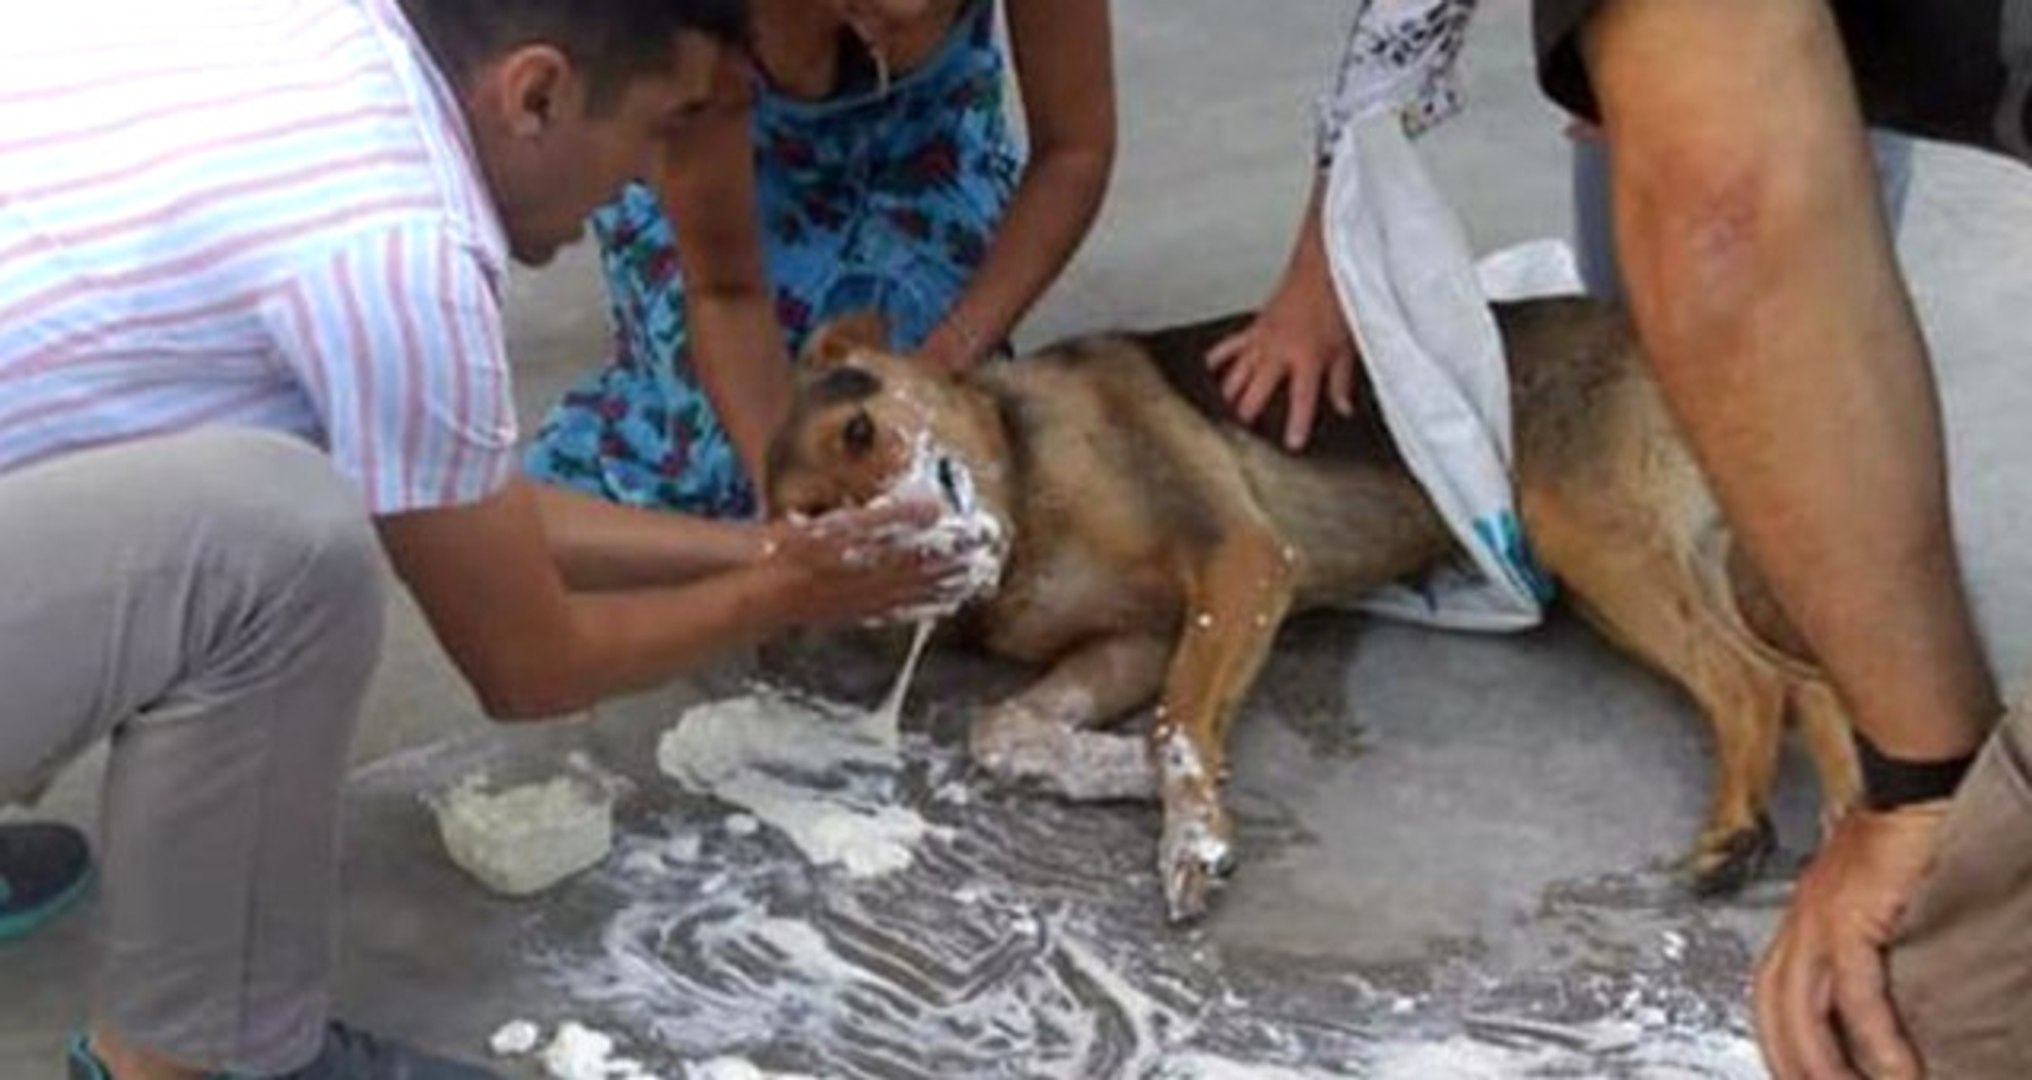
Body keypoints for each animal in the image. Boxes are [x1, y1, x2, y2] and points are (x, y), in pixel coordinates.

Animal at [765, 299, 1861, 922]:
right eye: (817, 531)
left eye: (859, 429)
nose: (907, 550)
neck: (1026, 491)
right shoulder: (1128, 644)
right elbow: (1006, 728)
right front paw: (1121, 775)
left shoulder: (1241, 564)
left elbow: (1177, 720)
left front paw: (1189, 833)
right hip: (1625, 570)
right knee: (1802, 683)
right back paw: (1840, 827)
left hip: (1588, 535)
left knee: (1752, 681)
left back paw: (1735, 835)